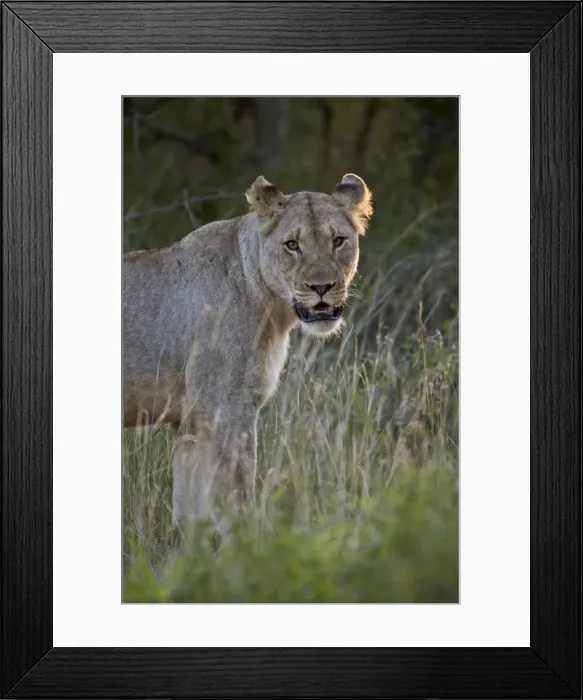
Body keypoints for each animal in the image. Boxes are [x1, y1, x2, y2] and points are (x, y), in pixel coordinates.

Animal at [123, 173, 373, 535]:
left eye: (338, 241)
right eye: (292, 245)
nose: (321, 287)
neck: (273, 309)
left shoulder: (189, 421)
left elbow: (188, 518)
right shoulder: (227, 409)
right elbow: (239, 504)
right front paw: (253, 548)